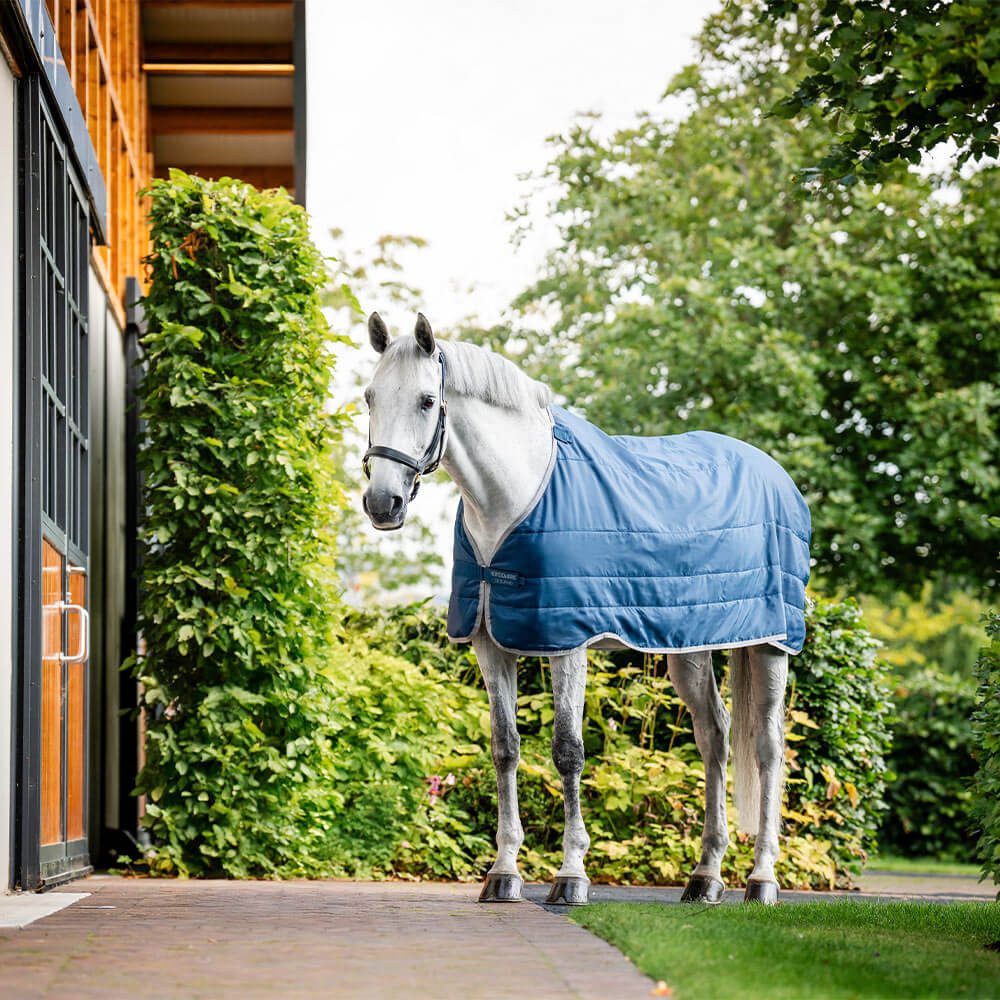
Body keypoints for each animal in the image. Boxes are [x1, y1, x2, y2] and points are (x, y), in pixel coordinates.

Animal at [360, 312, 811, 907]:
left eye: (427, 401)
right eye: (370, 397)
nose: (382, 503)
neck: (512, 496)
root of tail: (778, 476)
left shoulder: (566, 641)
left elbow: (568, 751)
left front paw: (571, 875)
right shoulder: (489, 642)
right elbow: (505, 748)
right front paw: (503, 873)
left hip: (770, 643)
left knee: (767, 748)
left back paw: (761, 880)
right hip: (688, 646)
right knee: (714, 735)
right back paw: (705, 877)